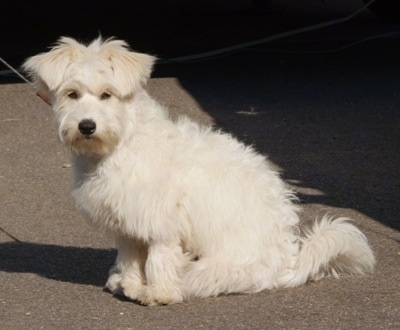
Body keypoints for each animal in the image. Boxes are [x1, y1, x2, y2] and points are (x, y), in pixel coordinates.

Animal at [23, 37, 376, 306]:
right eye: (72, 94)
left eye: (106, 94)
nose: (86, 126)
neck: (122, 142)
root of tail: (288, 261)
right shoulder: (128, 224)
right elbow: (129, 257)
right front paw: (127, 282)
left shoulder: (160, 222)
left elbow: (158, 259)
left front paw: (157, 293)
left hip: (218, 266)